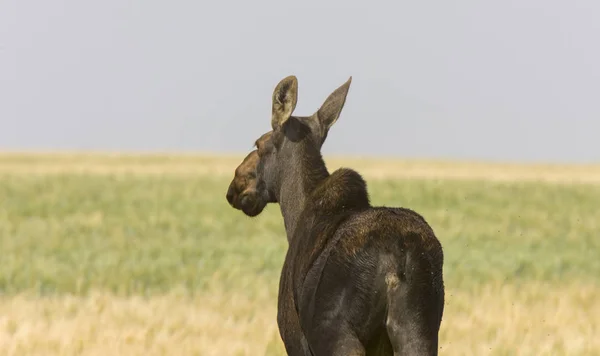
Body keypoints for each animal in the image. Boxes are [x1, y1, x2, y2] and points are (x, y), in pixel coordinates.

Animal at [225, 76, 446, 354]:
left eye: (258, 144)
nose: (235, 186)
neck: (293, 213)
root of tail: (396, 261)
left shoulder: (294, 337)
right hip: (420, 332)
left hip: (338, 335)